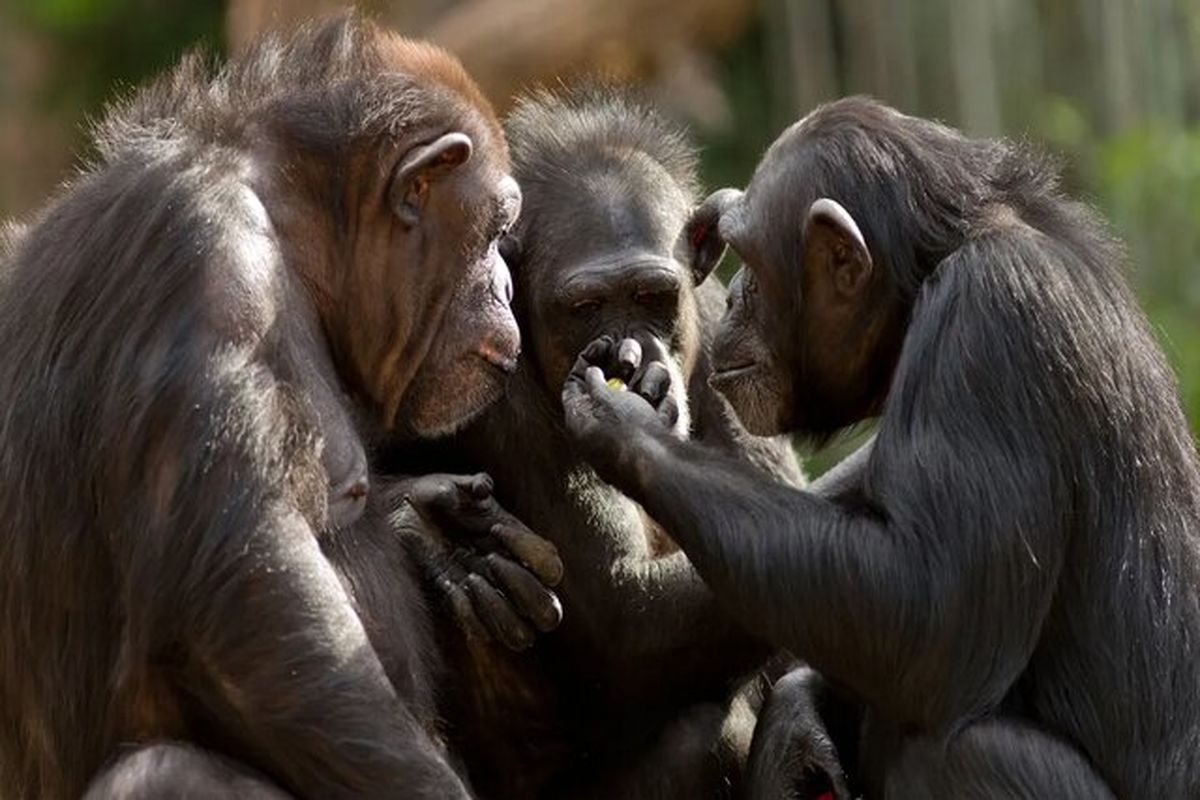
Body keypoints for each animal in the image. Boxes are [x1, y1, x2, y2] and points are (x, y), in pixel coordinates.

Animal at [0, 14, 564, 800]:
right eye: (495, 230)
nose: (506, 285)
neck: (289, 229)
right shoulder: (205, 262)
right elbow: (253, 605)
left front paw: (435, 530)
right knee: (164, 770)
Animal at [384, 87, 811, 800]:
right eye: (584, 307)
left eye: (652, 295)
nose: (629, 354)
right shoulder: (490, 391)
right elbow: (625, 613)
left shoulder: (728, 333)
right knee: (703, 732)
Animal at [561, 95, 1200, 800]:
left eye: (750, 260)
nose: (731, 295)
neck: (929, 274)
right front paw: (797, 723)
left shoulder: (989, 325)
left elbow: (928, 609)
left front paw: (627, 423)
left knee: (955, 749)